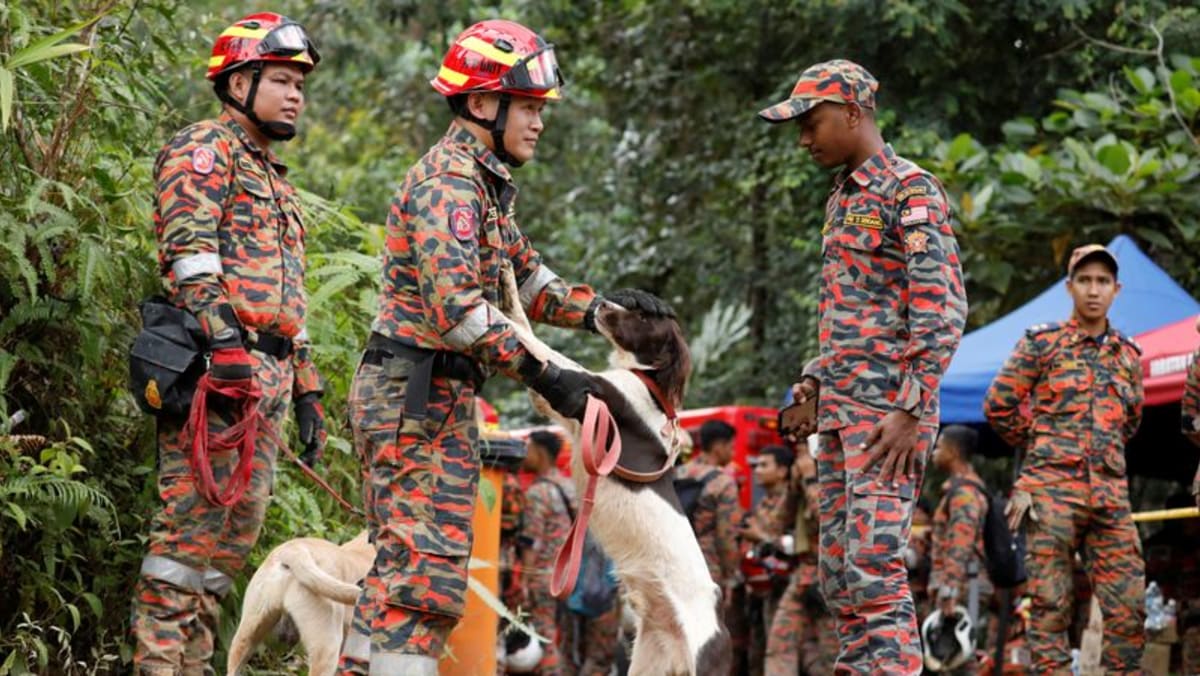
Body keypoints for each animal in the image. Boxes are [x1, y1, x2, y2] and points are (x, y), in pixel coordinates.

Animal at [496, 267, 729, 672]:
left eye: (644, 319)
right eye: (633, 306)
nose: (603, 303)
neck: (648, 381)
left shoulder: (592, 387)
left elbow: (533, 341)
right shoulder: (568, 409)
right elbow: (525, 328)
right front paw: (507, 283)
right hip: (647, 658)